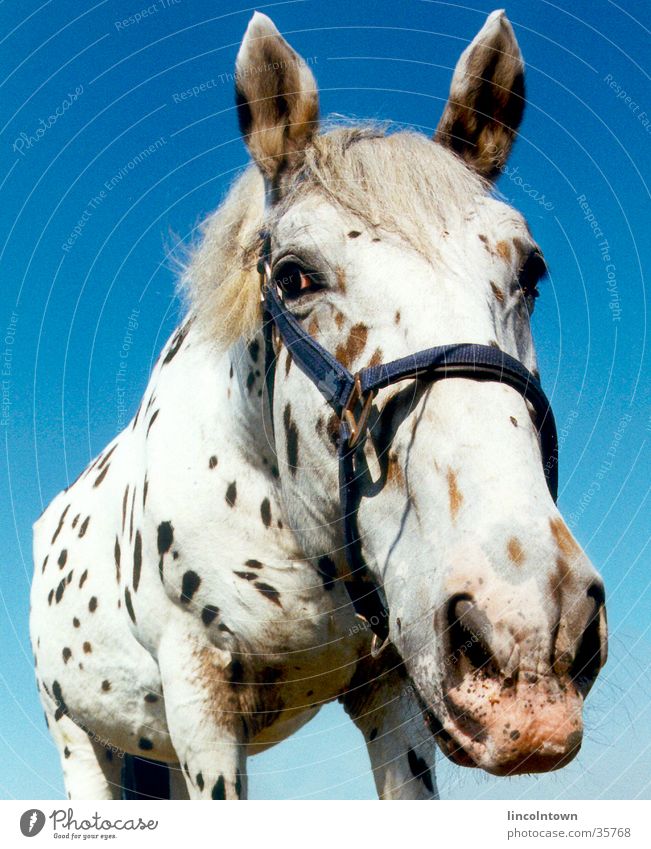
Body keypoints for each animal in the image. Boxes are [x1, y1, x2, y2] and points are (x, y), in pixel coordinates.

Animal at [30, 9, 608, 800]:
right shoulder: (202, 704)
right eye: (294, 275)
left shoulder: (392, 692)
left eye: (532, 269)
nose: (530, 626)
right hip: (83, 740)